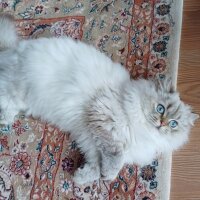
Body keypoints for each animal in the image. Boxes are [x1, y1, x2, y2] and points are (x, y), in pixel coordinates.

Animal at [0, 13, 198, 183]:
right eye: (160, 108)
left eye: (174, 124)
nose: (162, 124)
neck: (143, 130)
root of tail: (12, 50)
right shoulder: (105, 120)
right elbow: (116, 157)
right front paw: (108, 175)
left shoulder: (91, 136)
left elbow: (97, 163)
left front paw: (82, 177)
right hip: (16, 87)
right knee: (7, 99)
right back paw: (4, 120)